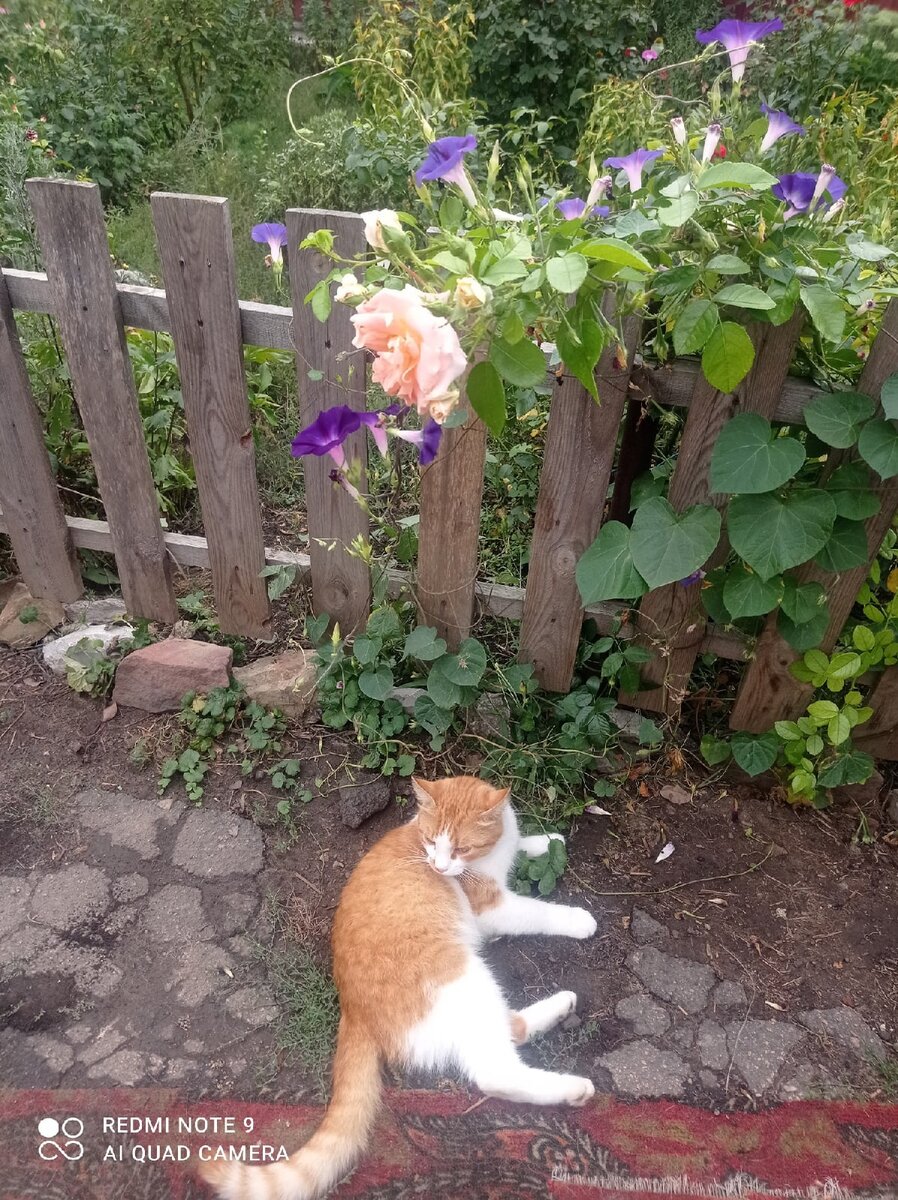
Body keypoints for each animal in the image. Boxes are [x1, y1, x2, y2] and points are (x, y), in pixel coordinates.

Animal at [202, 777, 595, 1200]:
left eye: (460, 848)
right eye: (431, 842)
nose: (439, 866)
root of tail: (352, 1011)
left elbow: (524, 840)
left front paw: (546, 839)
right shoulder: (494, 909)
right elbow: (537, 911)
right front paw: (578, 919)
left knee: (510, 1032)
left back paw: (561, 1007)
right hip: (463, 977)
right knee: (494, 1072)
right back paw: (574, 1085)